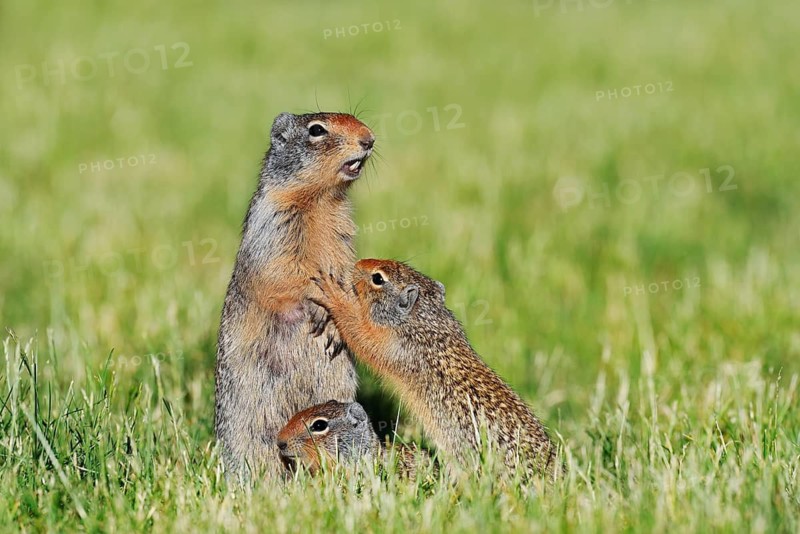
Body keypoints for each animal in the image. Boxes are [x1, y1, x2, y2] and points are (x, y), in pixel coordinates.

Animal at [214, 112, 375, 480]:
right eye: (316, 130)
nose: (369, 139)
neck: (320, 200)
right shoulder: (275, 224)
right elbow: (284, 271)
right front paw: (315, 305)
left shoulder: (343, 236)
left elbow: (344, 271)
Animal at [310, 259, 559, 480]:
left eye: (377, 278)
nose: (358, 264)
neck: (428, 320)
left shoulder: (391, 344)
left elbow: (358, 331)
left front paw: (331, 294)